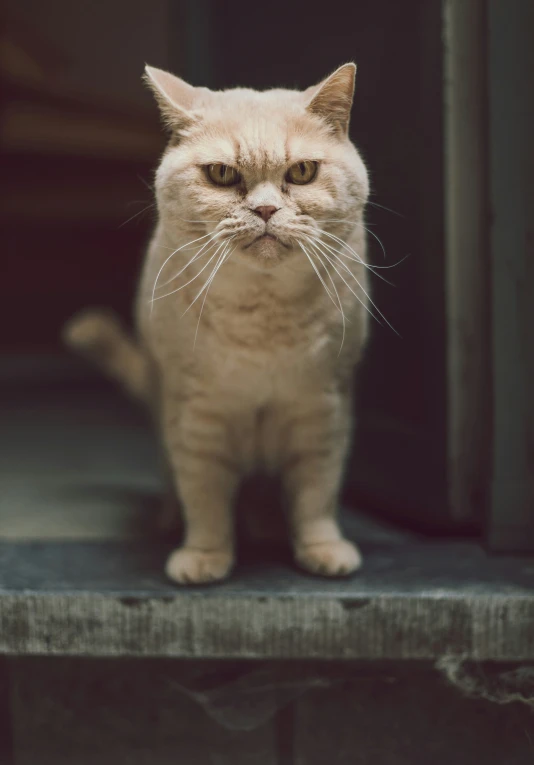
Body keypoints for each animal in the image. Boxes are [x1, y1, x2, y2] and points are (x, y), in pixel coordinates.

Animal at [63, 62, 372, 580]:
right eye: (222, 174)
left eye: (302, 171)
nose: (265, 209)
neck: (264, 322)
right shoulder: (196, 411)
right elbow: (204, 494)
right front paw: (204, 557)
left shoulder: (324, 405)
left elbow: (316, 492)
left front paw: (322, 549)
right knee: (175, 483)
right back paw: (173, 520)